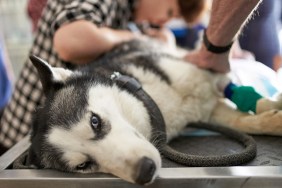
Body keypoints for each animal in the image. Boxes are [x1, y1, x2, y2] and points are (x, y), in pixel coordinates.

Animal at [27, 39, 282, 185]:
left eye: (95, 122)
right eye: (83, 166)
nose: (144, 171)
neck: (155, 101)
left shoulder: (211, 77)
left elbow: (248, 106)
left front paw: (272, 108)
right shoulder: (207, 112)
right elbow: (244, 120)